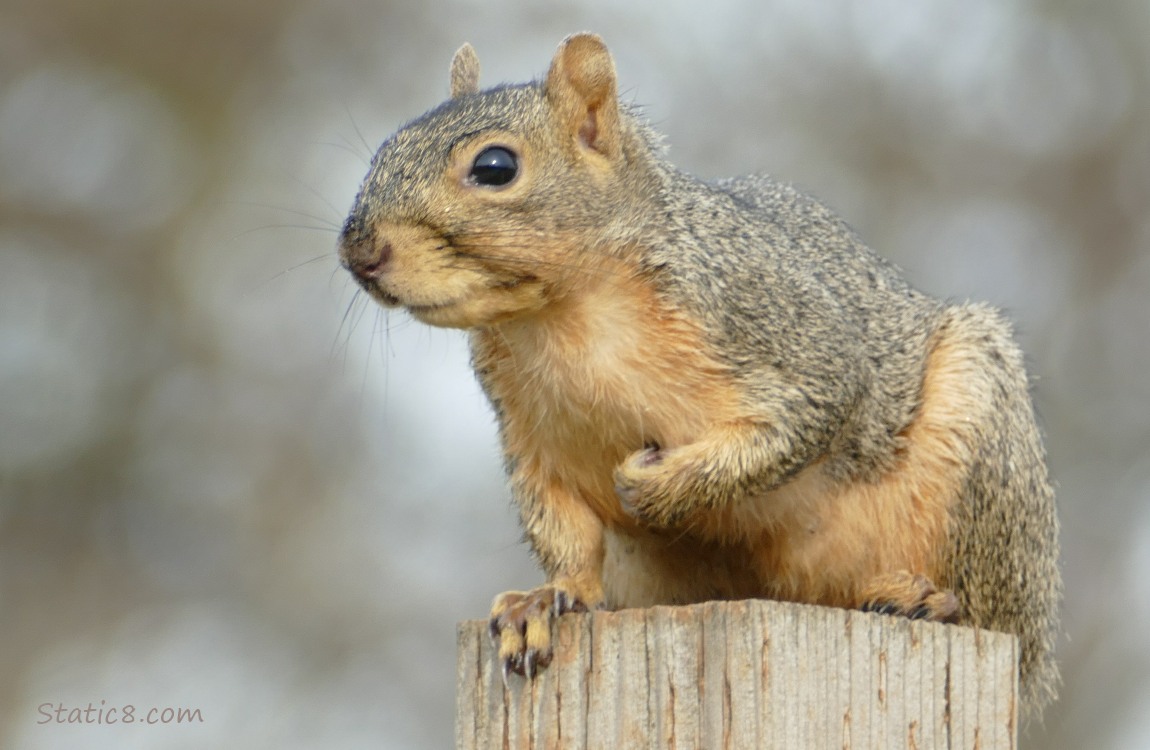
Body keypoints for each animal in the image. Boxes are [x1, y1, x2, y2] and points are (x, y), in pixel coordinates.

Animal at [338, 33, 1061, 718]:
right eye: (384, 149)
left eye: (495, 167)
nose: (359, 251)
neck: (563, 318)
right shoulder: (532, 438)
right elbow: (563, 529)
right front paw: (544, 601)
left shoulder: (781, 329)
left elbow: (803, 419)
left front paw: (657, 487)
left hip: (985, 454)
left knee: (994, 613)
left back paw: (931, 600)